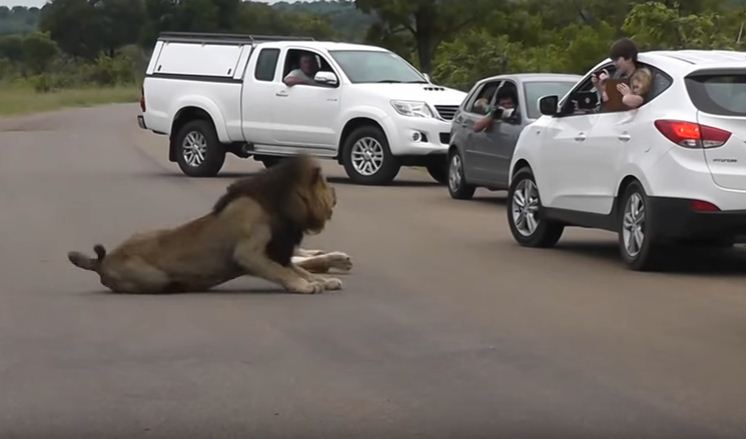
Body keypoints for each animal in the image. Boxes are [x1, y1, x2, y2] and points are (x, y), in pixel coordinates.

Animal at [67, 156, 352, 296]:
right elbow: (283, 273)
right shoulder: (248, 254)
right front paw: (304, 286)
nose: (336, 193)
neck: (281, 208)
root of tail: (102, 262)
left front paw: (323, 280)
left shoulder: (277, 252)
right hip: (153, 278)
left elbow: (298, 269)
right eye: (325, 184)